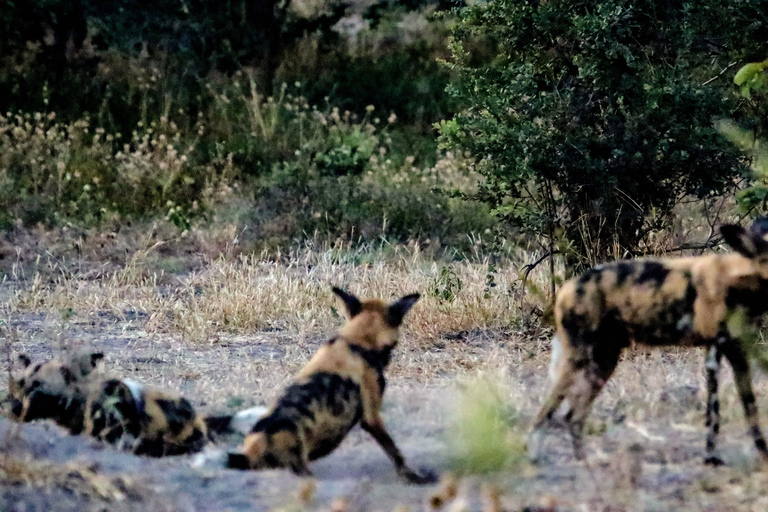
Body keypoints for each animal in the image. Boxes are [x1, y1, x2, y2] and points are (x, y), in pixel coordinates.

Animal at [532, 218, 768, 466]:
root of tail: (566, 289)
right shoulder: (718, 350)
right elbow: (717, 412)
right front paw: (714, 458)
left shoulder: (732, 351)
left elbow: (747, 407)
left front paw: (754, 456)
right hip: (579, 360)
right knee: (545, 414)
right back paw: (536, 459)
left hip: (603, 362)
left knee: (573, 416)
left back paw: (585, 462)